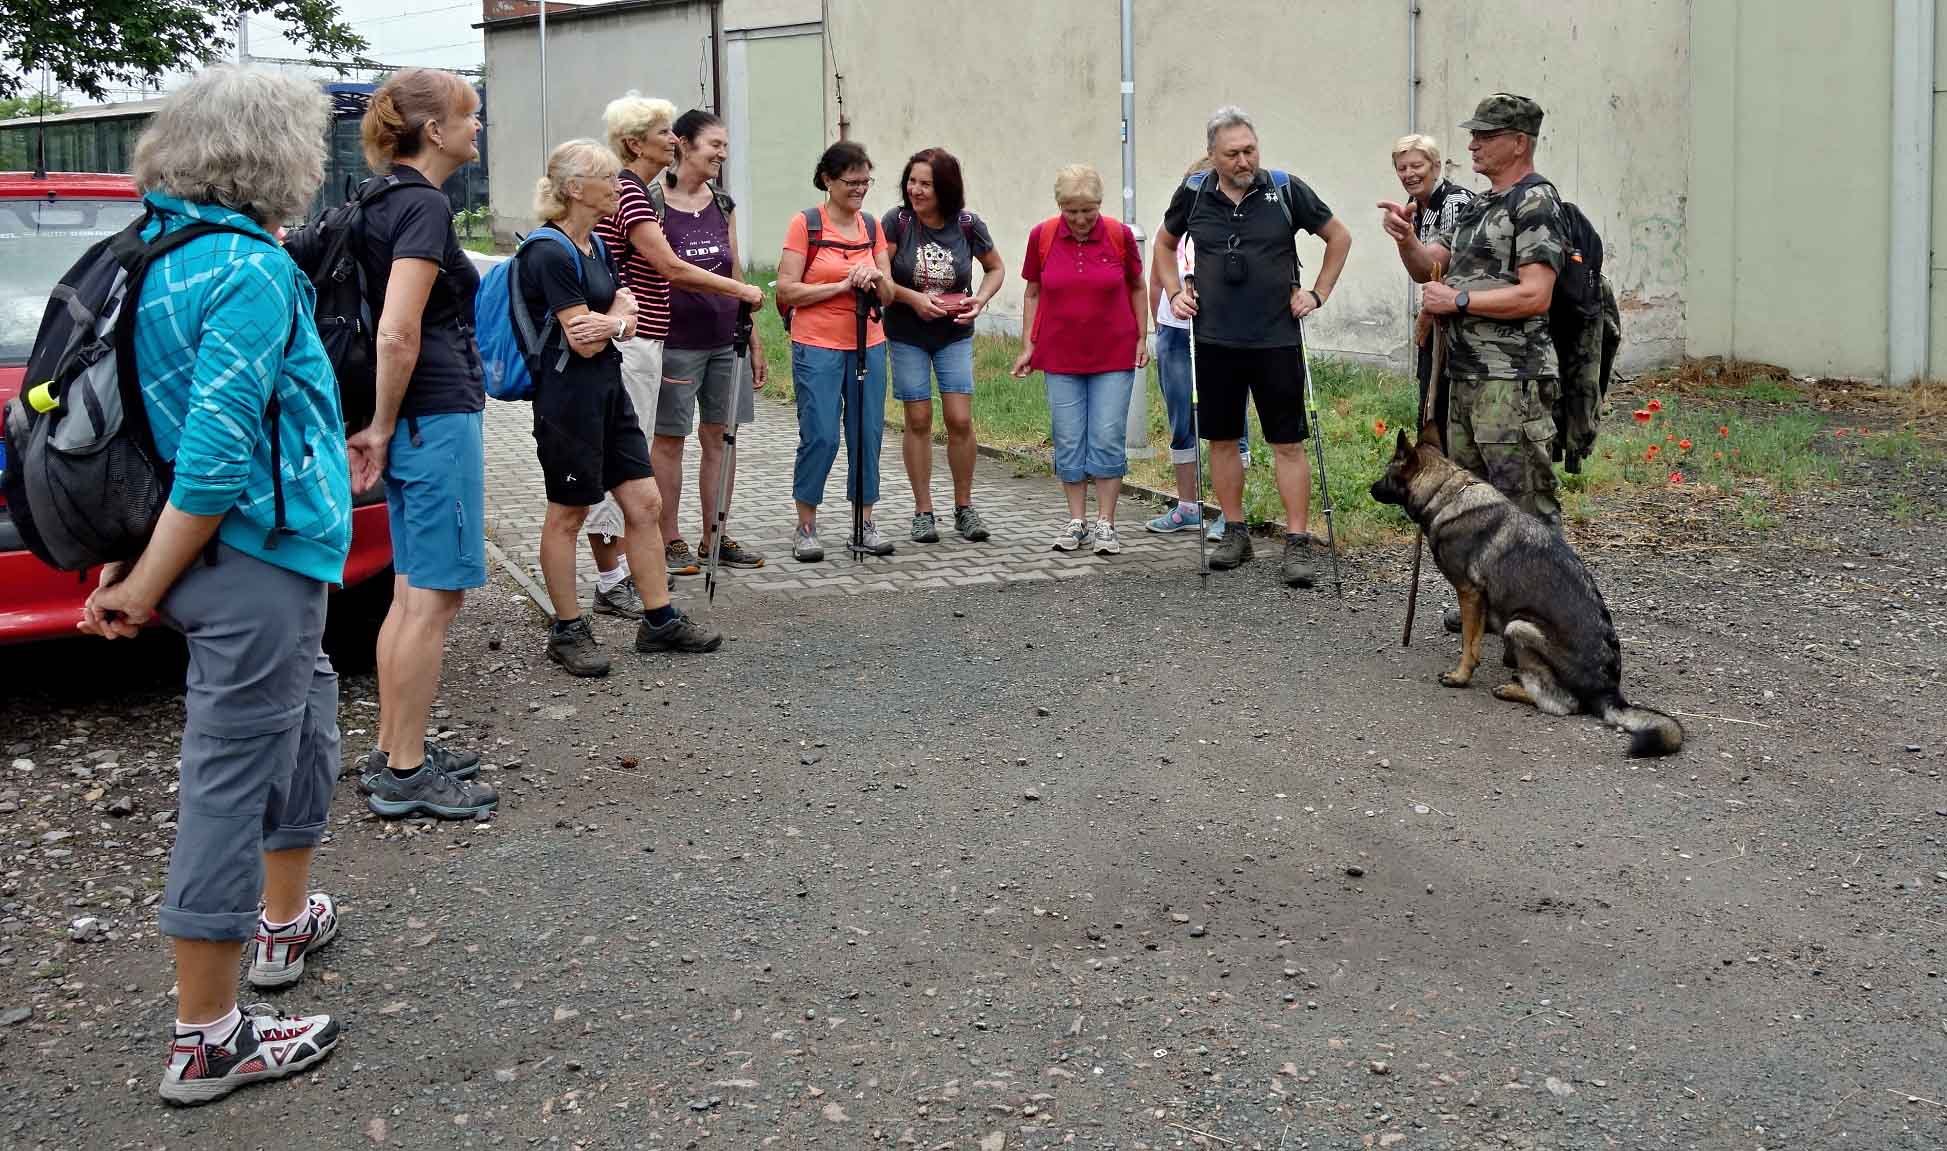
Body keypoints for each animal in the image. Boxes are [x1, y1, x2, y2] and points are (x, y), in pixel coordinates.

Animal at [1370, 425, 1683, 757]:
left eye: (1386, 472)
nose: (1369, 489)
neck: (1445, 493)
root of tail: (1608, 690)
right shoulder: (1479, 602)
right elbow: (1475, 640)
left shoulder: (1469, 593)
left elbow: (1468, 645)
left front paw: (1460, 677)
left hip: (1519, 626)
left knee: (1562, 704)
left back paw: (1511, 689)